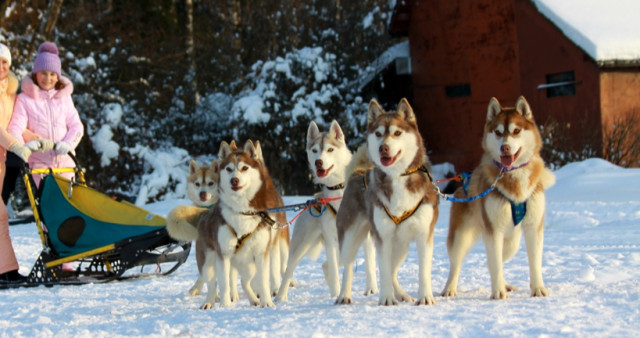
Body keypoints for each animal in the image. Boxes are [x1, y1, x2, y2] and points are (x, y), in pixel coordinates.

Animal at [199, 140, 286, 308]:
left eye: (244, 168)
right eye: (229, 169)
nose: (234, 180)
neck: (242, 211)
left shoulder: (261, 252)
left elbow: (263, 281)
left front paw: (267, 302)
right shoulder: (223, 254)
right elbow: (224, 284)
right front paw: (225, 306)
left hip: (249, 265)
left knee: (244, 282)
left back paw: (254, 300)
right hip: (207, 263)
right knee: (212, 284)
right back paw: (208, 303)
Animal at [276, 121, 378, 302]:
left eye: (330, 149)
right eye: (315, 150)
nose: (318, 162)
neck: (338, 190)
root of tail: (314, 200)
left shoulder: (365, 236)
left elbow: (370, 264)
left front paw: (371, 289)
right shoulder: (331, 240)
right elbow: (335, 272)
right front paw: (338, 292)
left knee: (326, 265)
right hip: (303, 244)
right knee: (290, 269)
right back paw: (280, 296)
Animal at [338, 98, 438, 306]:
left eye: (397, 132)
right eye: (378, 134)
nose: (382, 148)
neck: (398, 177)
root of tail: (358, 173)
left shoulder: (424, 234)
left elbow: (423, 272)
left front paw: (425, 297)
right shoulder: (382, 237)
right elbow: (383, 271)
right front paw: (386, 299)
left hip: (400, 245)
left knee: (393, 272)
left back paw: (401, 294)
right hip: (350, 237)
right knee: (349, 267)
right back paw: (344, 295)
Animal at [440, 96, 556, 300]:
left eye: (516, 130)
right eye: (498, 132)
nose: (505, 147)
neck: (513, 178)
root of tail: (464, 178)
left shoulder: (533, 227)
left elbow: (534, 262)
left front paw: (538, 288)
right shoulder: (493, 230)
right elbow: (494, 265)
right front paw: (498, 292)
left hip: (511, 242)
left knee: (496, 260)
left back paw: (505, 283)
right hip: (462, 236)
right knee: (458, 263)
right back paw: (450, 288)